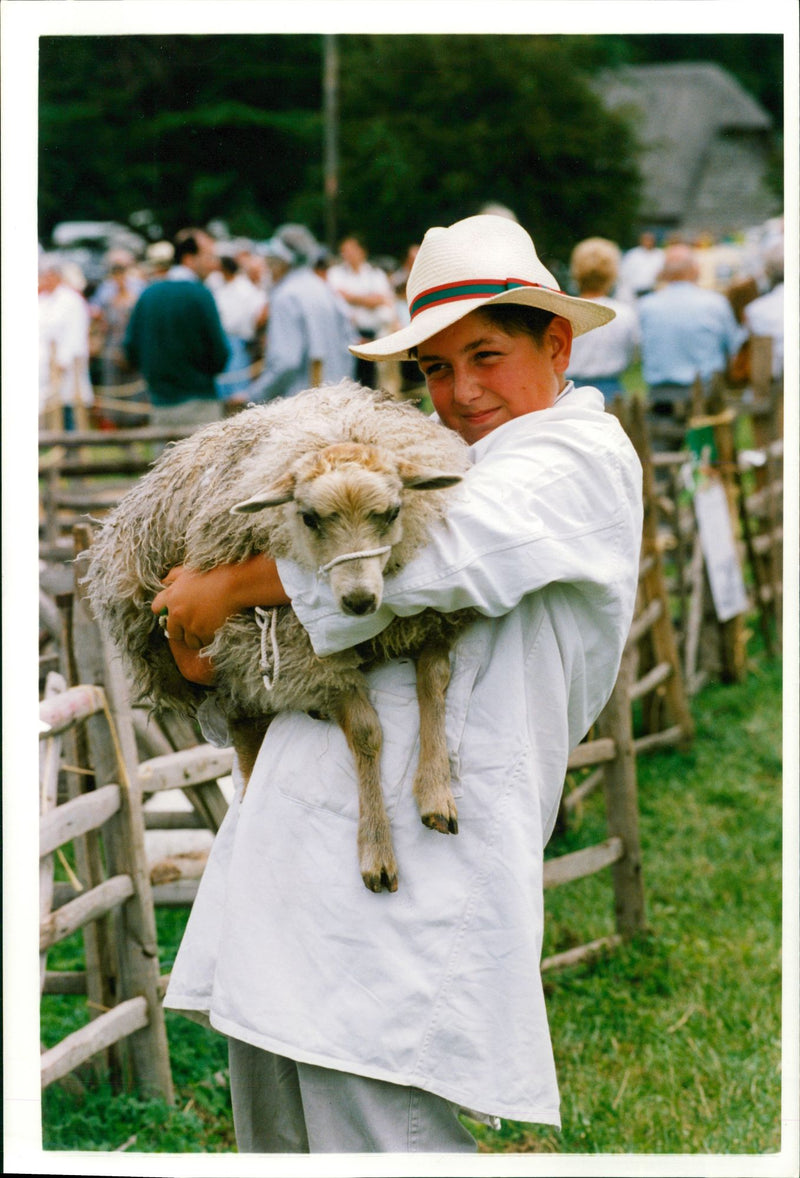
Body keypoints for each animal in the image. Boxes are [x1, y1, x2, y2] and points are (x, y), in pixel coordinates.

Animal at [84, 381, 478, 885]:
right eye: (309, 517)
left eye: (392, 513)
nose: (359, 601)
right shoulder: (307, 658)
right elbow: (367, 733)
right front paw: (376, 851)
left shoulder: (430, 621)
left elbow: (434, 682)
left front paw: (435, 792)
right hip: (235, 670)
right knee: (247, 747)